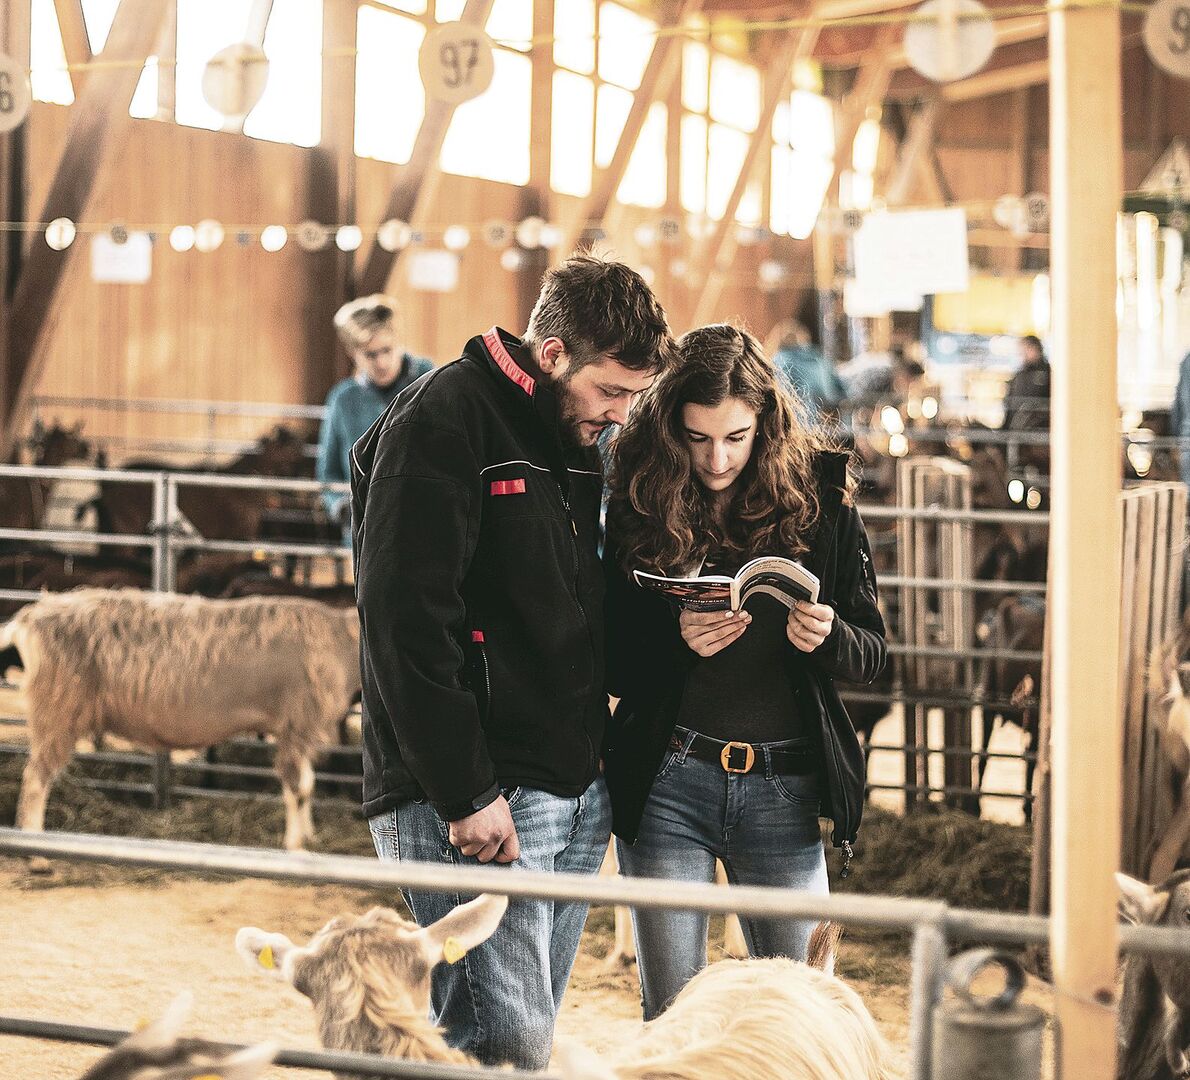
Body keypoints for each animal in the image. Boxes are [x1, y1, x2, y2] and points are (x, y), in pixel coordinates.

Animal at [3, 587, 360, 850]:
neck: (344, 640)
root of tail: (31, 617)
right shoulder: (297, 723)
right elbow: (299, 787)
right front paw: (296, 845)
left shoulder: (299, 729)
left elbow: (307, 785)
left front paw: (309, 836)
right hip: (57, 707)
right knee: (35, 779)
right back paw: (37, 853)